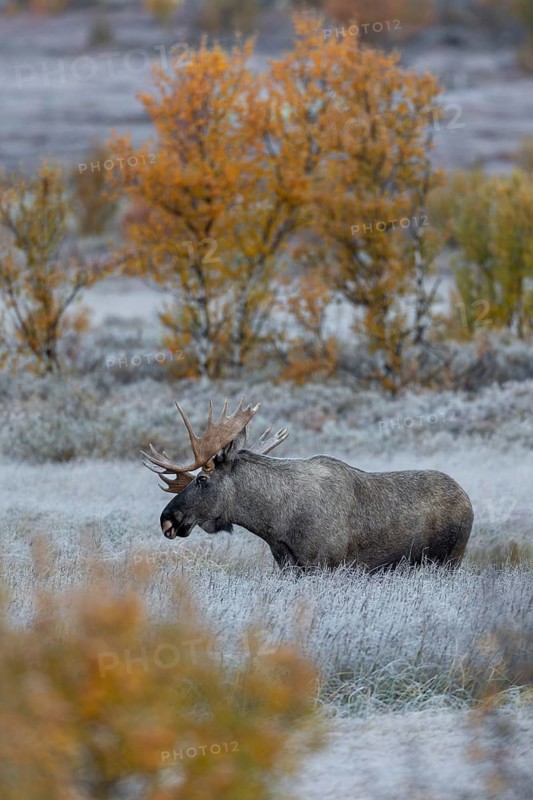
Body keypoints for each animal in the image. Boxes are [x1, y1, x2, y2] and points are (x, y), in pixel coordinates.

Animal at [142, 398, 474, 570]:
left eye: (202, 479)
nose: (167, 519)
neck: (274, 523)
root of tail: (467, 500)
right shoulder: (288, 566)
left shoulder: (324, 564)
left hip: (449, 559)